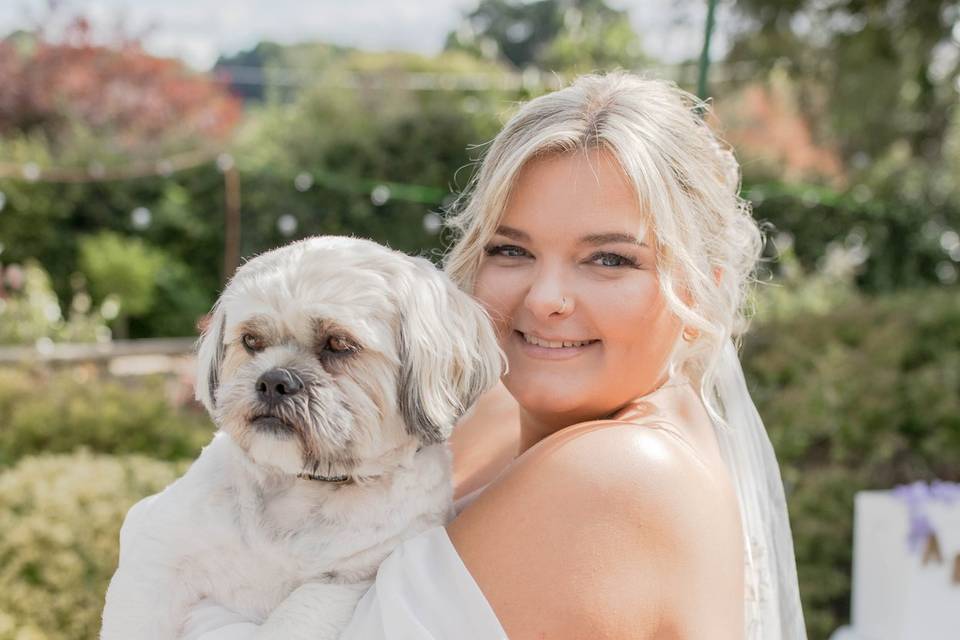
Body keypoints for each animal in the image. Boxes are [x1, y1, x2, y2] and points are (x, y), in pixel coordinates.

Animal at [101, 238, 506, 640]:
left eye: (339, 343)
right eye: (251, 340)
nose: (274, 380)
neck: (303, 485)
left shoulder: (347, 580)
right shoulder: (160, 556)